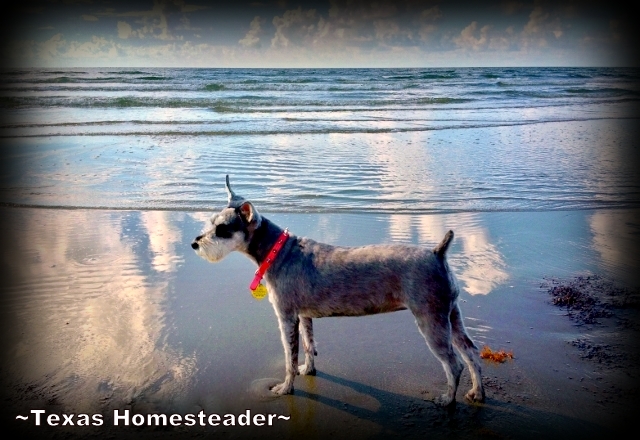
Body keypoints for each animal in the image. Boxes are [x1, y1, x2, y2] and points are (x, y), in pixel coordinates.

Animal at [190, 174, 484, 406]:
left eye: (222, 229)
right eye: (211, 222)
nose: (195, 243)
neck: (278, 251)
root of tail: (437, 253)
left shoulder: (286, 317)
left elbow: (289, 357)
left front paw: (286, 387)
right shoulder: (304, 315)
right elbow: (309, 345)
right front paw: (308, 369)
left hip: (431, 320)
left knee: (454, 363)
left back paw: (447, 400)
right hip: (451, 316)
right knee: (472, 353)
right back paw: (477, 393)